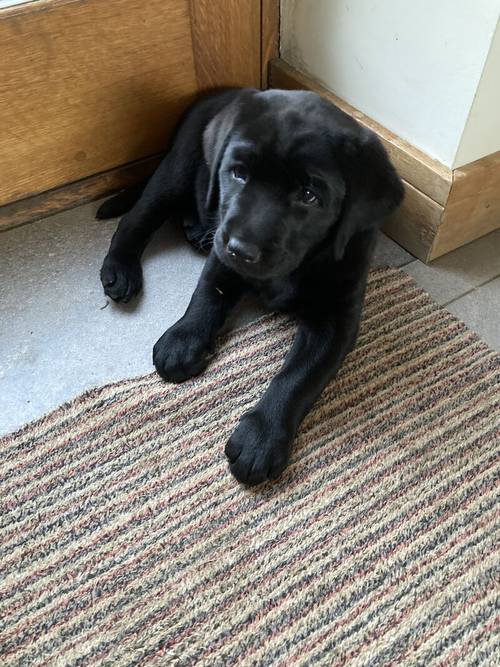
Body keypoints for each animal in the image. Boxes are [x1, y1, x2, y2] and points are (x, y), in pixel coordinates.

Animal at [96, 87, 402, 486]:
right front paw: (182, 340)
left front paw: (260, 437)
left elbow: (297, 377)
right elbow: (207, 294)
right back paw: (121, 268)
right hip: (176, 169)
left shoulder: (337, 319)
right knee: (137, 218)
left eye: (309, 195)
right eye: (238, 174)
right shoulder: (222, 255)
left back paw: (194, 228)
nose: (241, 249)